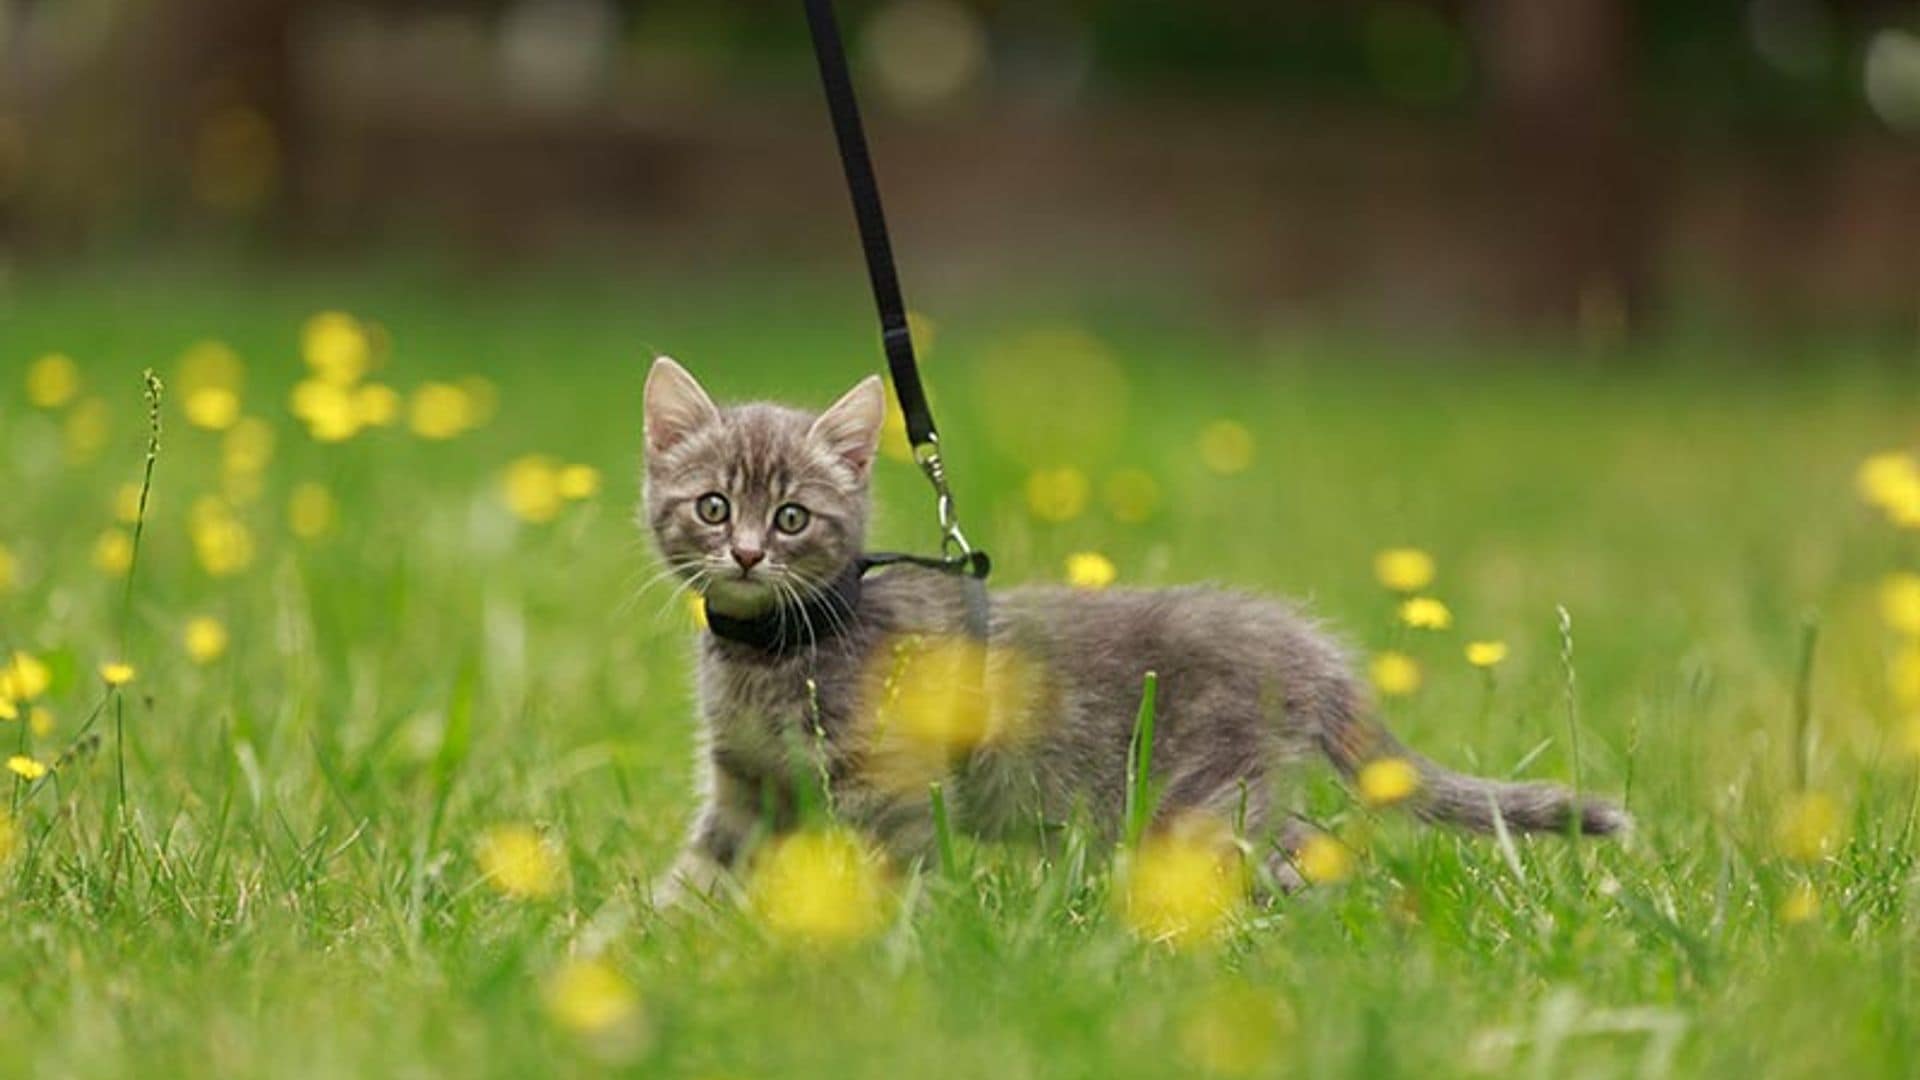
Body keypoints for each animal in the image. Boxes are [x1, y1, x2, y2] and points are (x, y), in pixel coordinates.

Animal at [641, 355, 1620, 899]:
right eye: (714, 505)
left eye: (793, 519)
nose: (746, 555)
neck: (776, 647)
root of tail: (1301, 645)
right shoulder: (747, 788)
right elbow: (697, 876)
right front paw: (643, 945)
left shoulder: (890, 790)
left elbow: (888, 875)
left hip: (1200, 800)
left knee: (1298, 852)